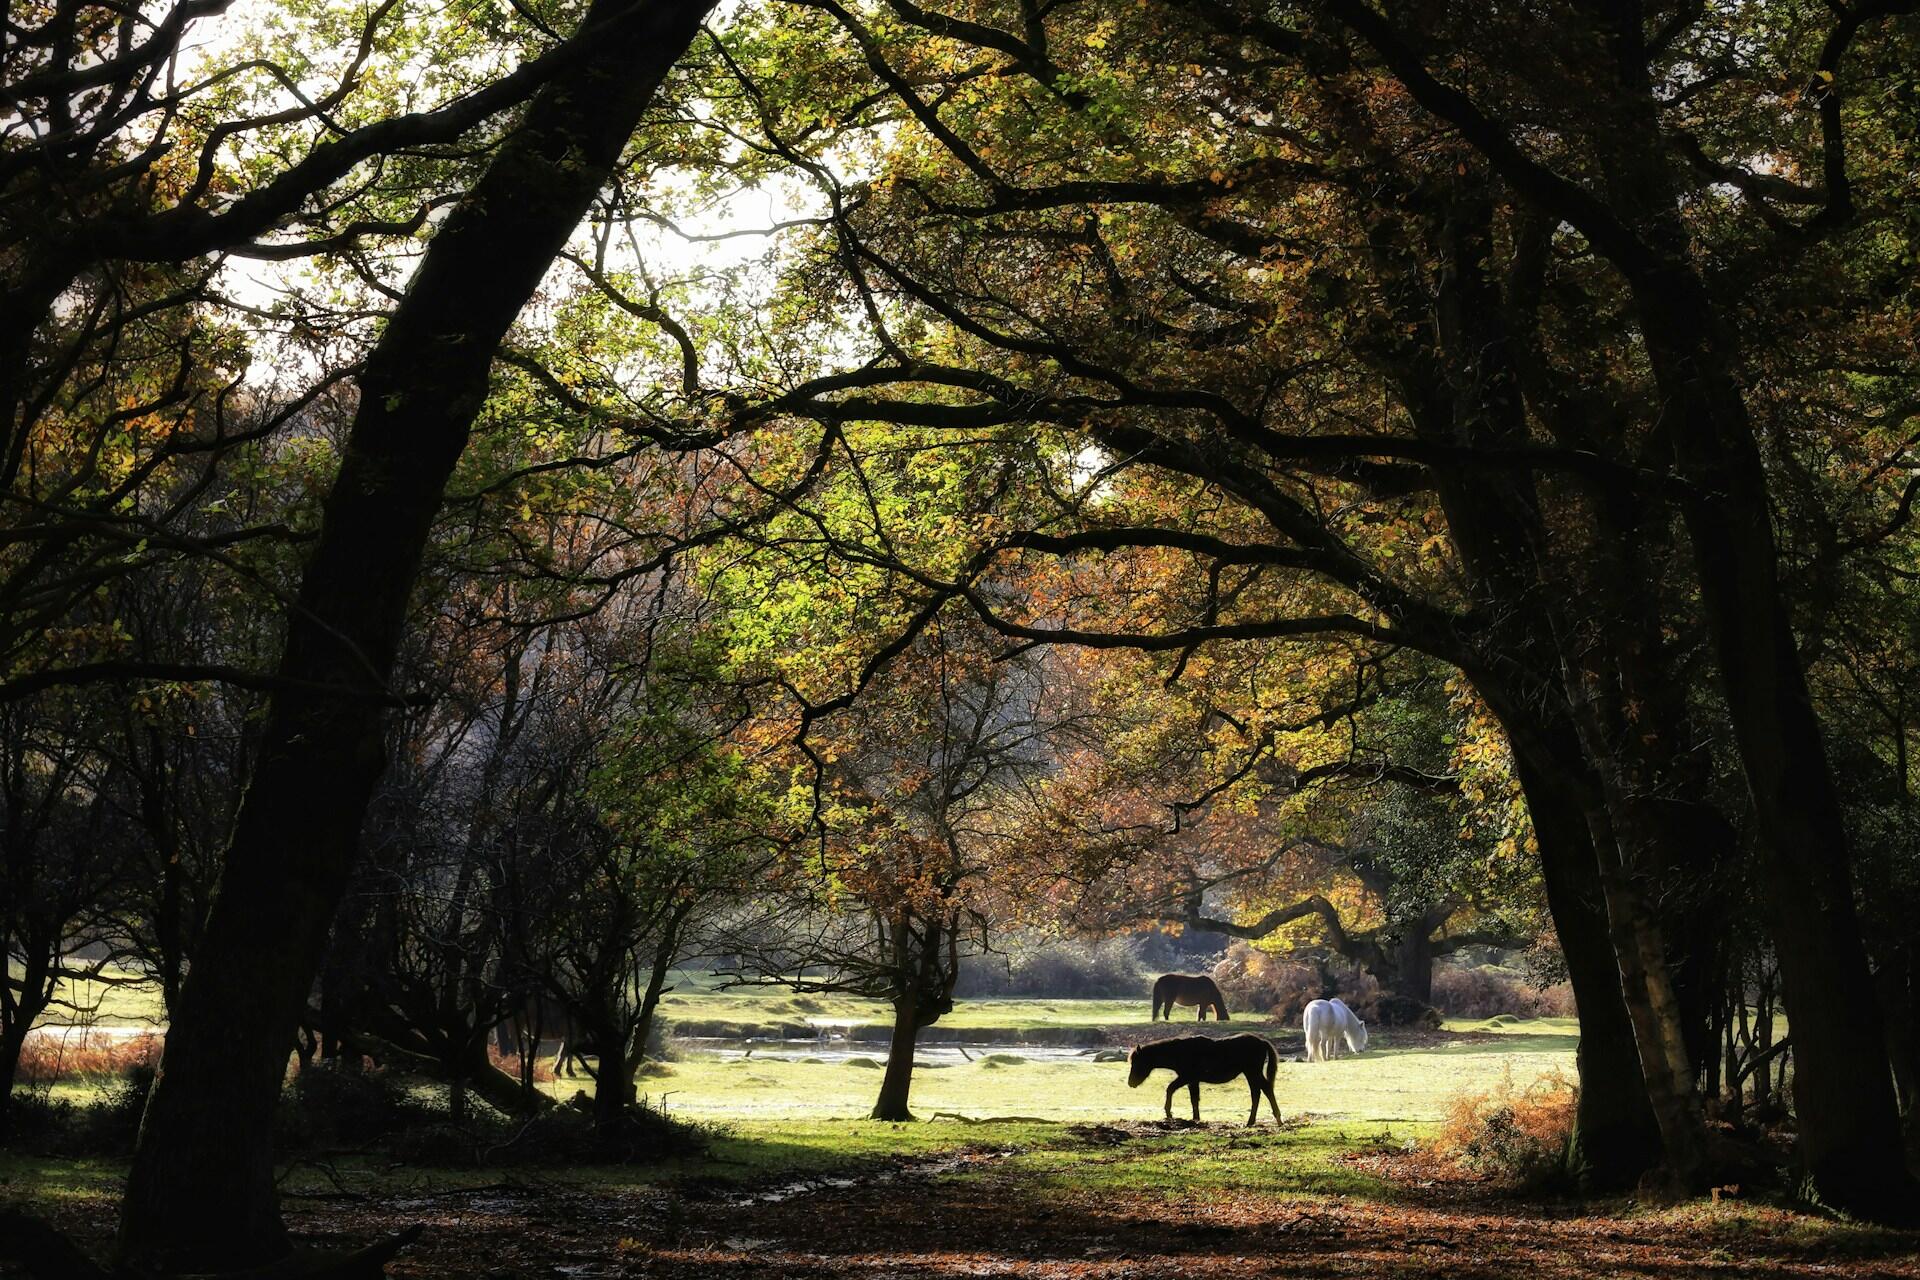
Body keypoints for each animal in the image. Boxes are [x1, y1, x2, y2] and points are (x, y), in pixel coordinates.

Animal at [1126, 1033, 1280, 1125]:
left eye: (1137, 1063)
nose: (1130, 1083)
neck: (1179, 1051)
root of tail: (1261, 1041)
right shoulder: (1192, 1081)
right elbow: (1194, 1099)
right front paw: (1196, 1118)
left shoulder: (1187, 1077)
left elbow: (1170, 1089)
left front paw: (1169, 1113)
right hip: (1251, 1074)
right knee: (1258, 1093)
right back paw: (1254, 1121)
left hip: (1253, 1072)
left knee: (1264, 1090)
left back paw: (1275, 1119)